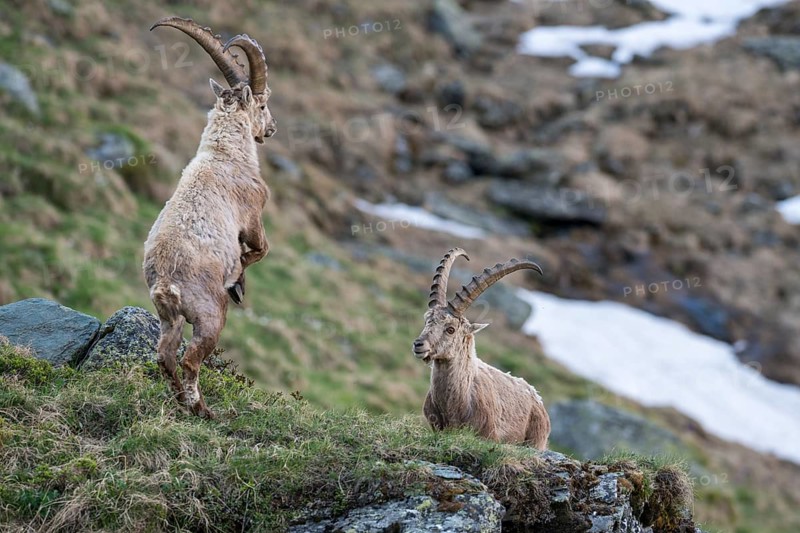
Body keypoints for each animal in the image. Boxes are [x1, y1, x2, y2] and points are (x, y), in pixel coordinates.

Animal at [143, 17, 276, 418]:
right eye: (263, 103)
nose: (271, 128)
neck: (224, 153)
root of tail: (165, 282)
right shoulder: (252, 216)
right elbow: (258, 250)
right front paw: (237, 282)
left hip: (168, 318)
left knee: (165, 356)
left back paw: (181, 402)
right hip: (210, 315)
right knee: (190, 359)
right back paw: (202, 409)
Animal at [413, 249, 551, 448]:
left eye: (450, 329)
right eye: (426, 321)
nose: (418, 345)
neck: (455, 403)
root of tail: (537, 397)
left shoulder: (489, 435)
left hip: (536, 440)